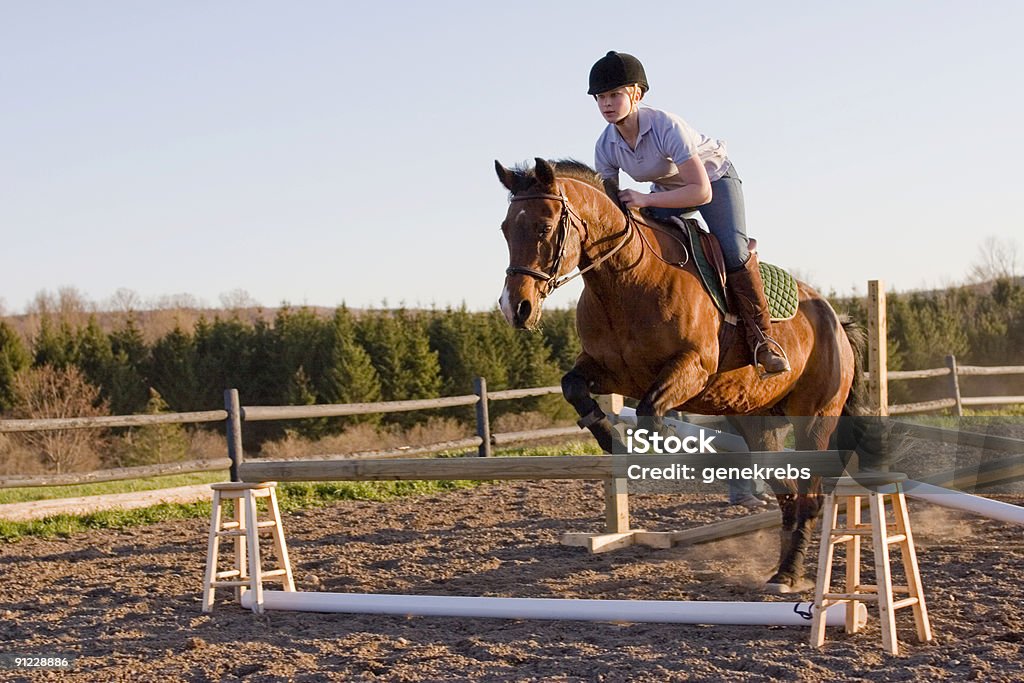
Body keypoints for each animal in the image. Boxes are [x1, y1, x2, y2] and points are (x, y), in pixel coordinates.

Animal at [495, 158, 864, 593]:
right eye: (505, 228)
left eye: (544, 227)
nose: (514, 308)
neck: (627, 279)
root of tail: (836, 319)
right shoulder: (613, 373)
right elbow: (574, 387)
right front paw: (611, 439)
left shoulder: (692, 369)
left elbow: (651, 412)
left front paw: (669, 446)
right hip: (757, 421)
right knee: (786, 491)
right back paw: (784, 570)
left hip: (815, 419)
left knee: (809, 495)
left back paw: (789, 573)